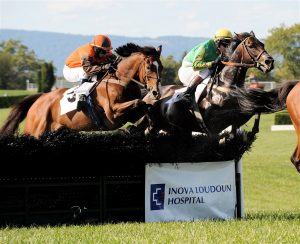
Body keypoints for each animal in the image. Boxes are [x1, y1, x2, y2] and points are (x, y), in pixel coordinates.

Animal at [0, 43, 163, 138]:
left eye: (160, 67)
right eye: (149, 66)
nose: (156, 92)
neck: (120, 80)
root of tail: (39, 100)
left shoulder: (128, 114)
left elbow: (147, 106)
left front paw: (148, 125)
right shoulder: (113, 114)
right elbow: (139, 102)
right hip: (35, 131)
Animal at [141, 31, 282, 137]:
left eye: (262, 44)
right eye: (251, 45)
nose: (269, 62)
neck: (226, 84)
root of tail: (149, 94)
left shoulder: (239, 111)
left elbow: (254, 109)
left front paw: (252, 131)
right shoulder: (213, 123)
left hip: (172, 128)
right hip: (154, 124)